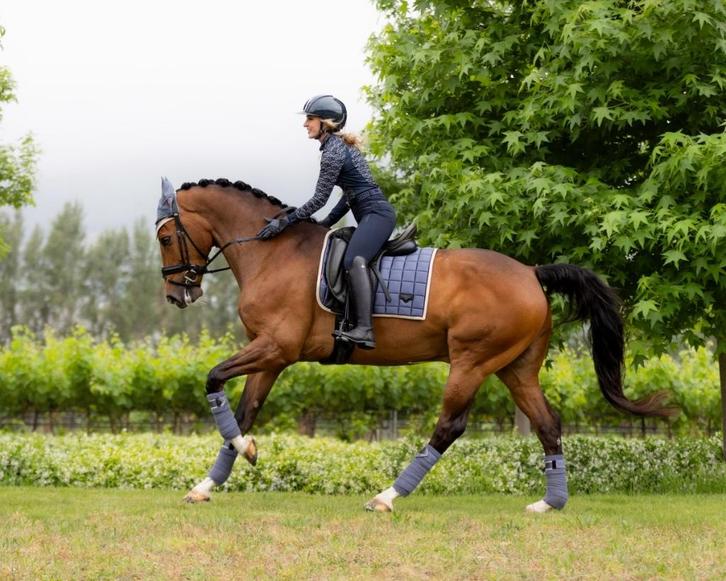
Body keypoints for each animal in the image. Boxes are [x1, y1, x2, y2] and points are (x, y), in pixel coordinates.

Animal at [154, 177, 674, 512]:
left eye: (163, 236)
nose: (177, 295)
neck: (272, 252)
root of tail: (531, 273)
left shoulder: (275, 349)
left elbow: (213, 380)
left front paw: (244, 453)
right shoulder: (269, 356)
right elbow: (243, 413)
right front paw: (211, 480)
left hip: (471, 362)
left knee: (450, 426)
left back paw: (388, 496)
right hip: (516, 368)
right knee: (548, 424)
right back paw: (550, 503)